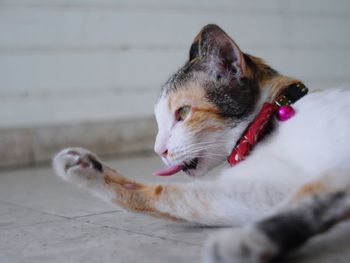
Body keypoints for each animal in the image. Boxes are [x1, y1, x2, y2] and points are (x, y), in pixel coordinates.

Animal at [52, 23, 350, 262]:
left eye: (183, 113)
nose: (158, 150)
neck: (269, 123)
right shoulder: (266, 190)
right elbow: (169, 195)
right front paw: (89, 169)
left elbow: (311, 198)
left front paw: (244, 241)